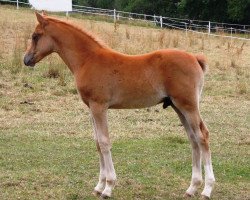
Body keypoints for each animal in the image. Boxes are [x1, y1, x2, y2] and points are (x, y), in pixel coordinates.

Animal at [23, 12, 215, 198]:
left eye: (35, 36)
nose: (26, 60)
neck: (88, 59)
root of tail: (195, 58)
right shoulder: (91, 109)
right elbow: (97, 143)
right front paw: (99, 186)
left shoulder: (99, 107)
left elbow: (104, 142)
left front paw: (108, 187)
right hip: (178, 107)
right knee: (193, 138)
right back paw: (192, 188)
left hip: (188, 106)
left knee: (202, 136)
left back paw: (206, 190)